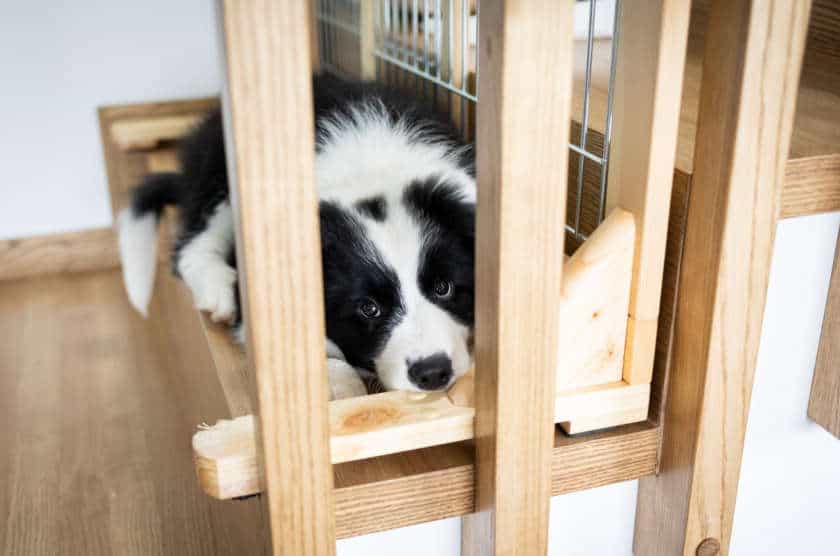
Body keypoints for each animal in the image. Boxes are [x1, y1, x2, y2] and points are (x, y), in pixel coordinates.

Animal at [118, 76, 476, 402]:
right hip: (219, 176)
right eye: (368, 308)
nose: (432, 372)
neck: (371, 171)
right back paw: (217, 290)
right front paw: (337, 385)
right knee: (193, 243)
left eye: (443, 287)